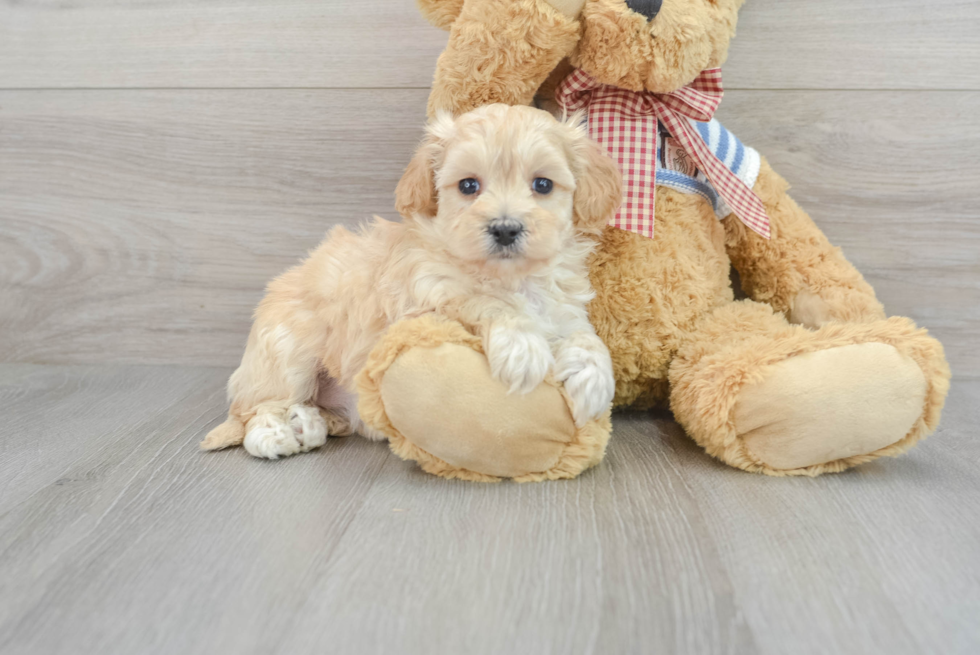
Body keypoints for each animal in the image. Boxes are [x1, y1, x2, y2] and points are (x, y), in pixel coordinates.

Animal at [219, 104, 624, 462]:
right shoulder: (422, 300)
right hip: (287, 350)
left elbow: (585, 335)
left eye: (542, 184)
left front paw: (593, 379)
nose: (505, 228)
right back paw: (277, 434)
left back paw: (310, 423)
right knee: (257, 408)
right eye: (468, 185)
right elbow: (483, 302)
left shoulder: (562, 308)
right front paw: (523, 348)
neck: (509, 278)